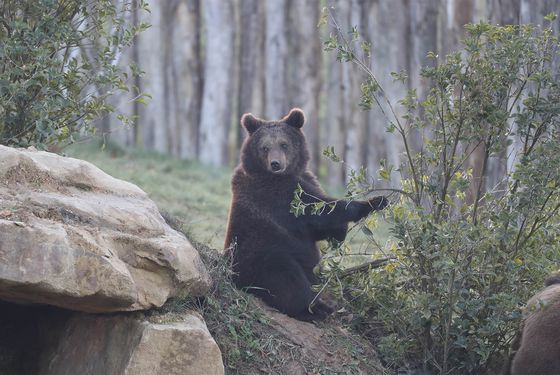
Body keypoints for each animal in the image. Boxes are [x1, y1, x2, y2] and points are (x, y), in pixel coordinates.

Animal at [225, 107, 388, 322]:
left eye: (284, 144)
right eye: (265, 147)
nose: (276, 164)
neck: (283, 175)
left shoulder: (304, 180)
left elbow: (320, 227)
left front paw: (340, 232)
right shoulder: (279, 197)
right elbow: (320, 210)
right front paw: (375, 201)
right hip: (261, 256)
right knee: (288, 280)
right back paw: (317, 309)